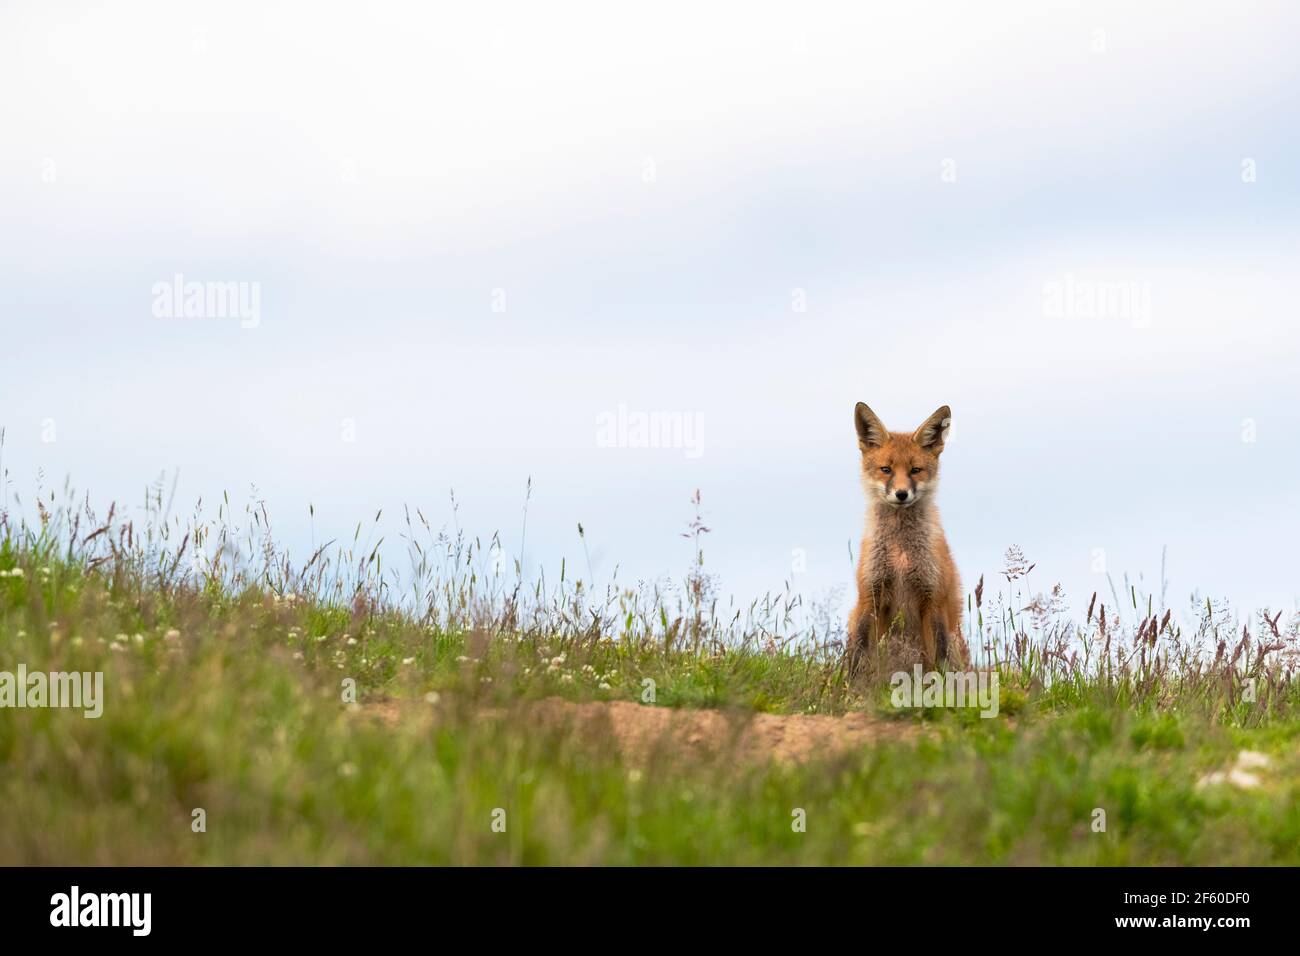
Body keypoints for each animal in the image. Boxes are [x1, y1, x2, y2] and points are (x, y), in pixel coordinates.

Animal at [846, 402, 969, 676]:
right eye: (886, 470)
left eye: (915, 470)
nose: (901, 494)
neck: (900, 554)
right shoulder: (870, 594)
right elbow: (858, 652)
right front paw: (848, 684)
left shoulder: (933, 598)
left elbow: (940, 655)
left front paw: (941, 685)